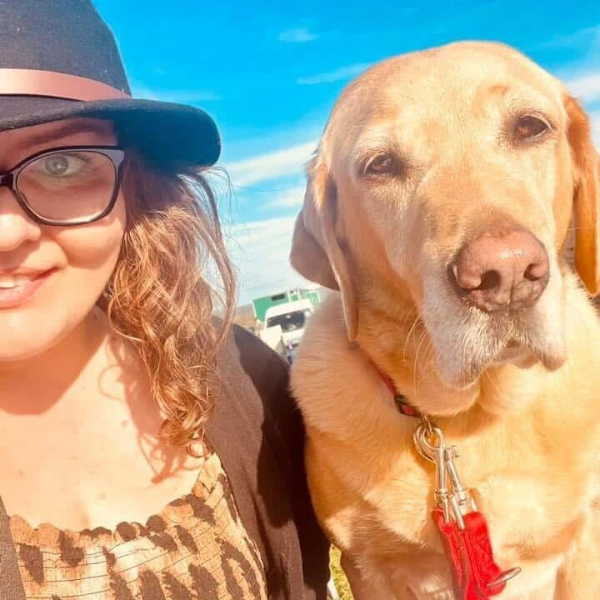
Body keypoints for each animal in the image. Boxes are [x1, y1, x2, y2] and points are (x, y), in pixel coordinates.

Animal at [288, 39, 596, 596]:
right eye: (380, 165)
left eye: (530, 126)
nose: (506, 272)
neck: (472, 417)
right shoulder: (369, 566)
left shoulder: (585, 539)